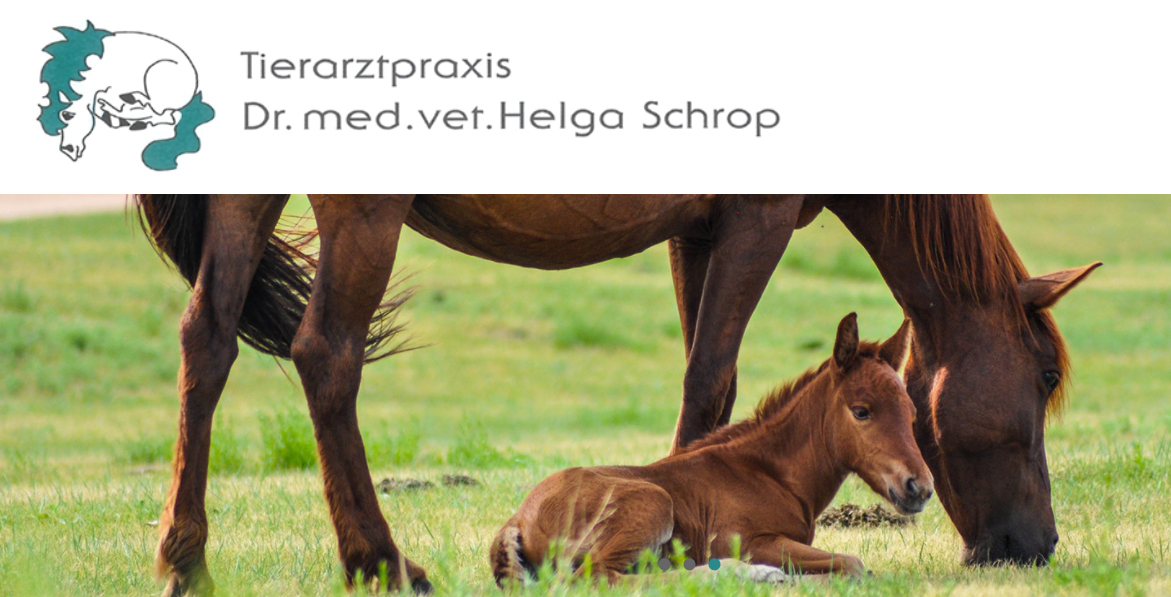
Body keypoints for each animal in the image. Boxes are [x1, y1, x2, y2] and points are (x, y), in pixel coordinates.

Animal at [489, 313, 932, 585]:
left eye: (912, 412)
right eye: (861, 411)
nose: (920, 488)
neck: (771, 474)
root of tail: (518, 519)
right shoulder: (747, 540)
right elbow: (852, 564)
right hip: (652, 503)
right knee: (602, 578)